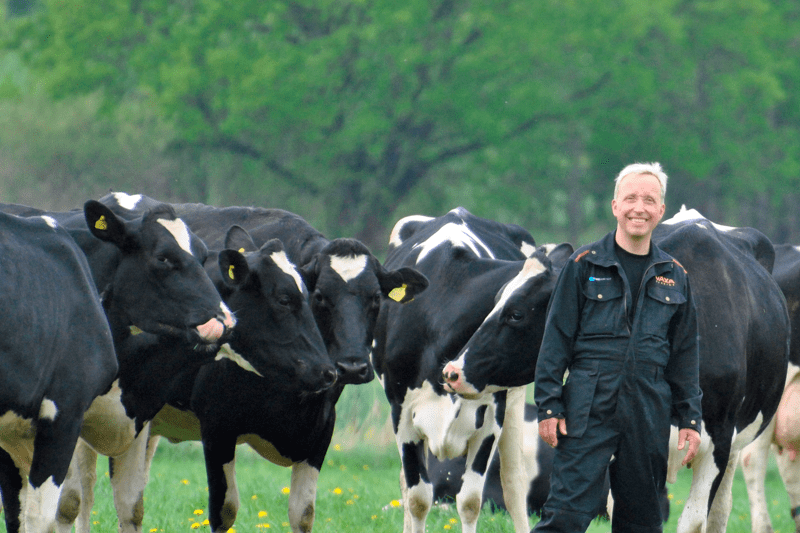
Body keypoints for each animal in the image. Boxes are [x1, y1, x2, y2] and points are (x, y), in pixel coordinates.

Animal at [372, 207, 572, 532]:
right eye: (495, 300)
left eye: (516, 314)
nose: (453, 372)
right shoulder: (401, 412)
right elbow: (418, 500)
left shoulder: (490, 418)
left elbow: (470, 502)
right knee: (405, 484)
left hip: (514, 402)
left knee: (513, 482)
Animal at [446, 207, 792, 532]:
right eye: (496, 299)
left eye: (516, 314)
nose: (452, 371)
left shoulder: (717, 442)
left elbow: (693, 522)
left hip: (736, 443)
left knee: (720, 511)